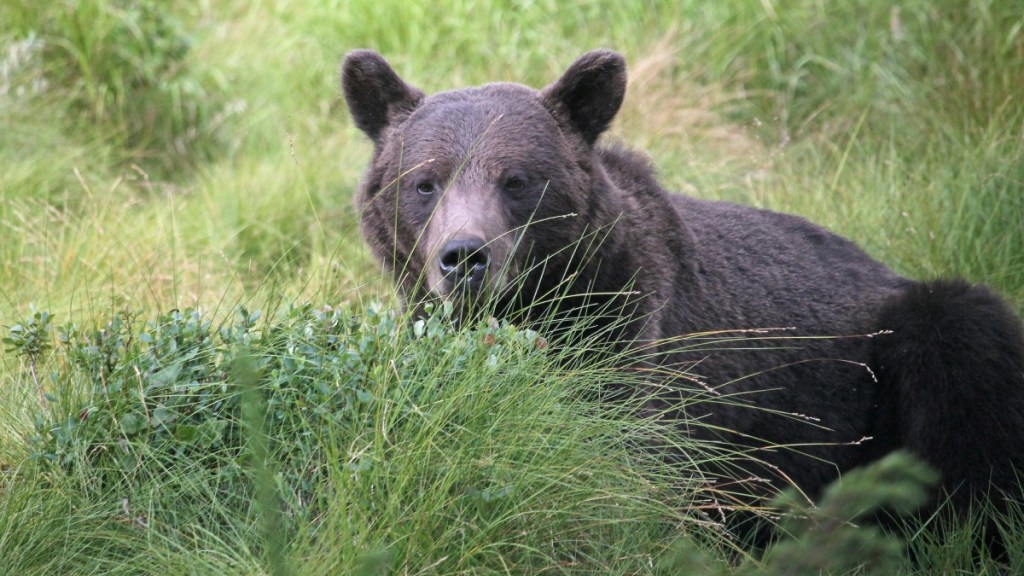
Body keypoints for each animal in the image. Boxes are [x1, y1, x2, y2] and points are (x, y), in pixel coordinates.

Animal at [341, 49, 1024, 525]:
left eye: (517, 180)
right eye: (425, 182)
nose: (465, 258)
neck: (547, 303)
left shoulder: (640, 343)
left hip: (900, 348)